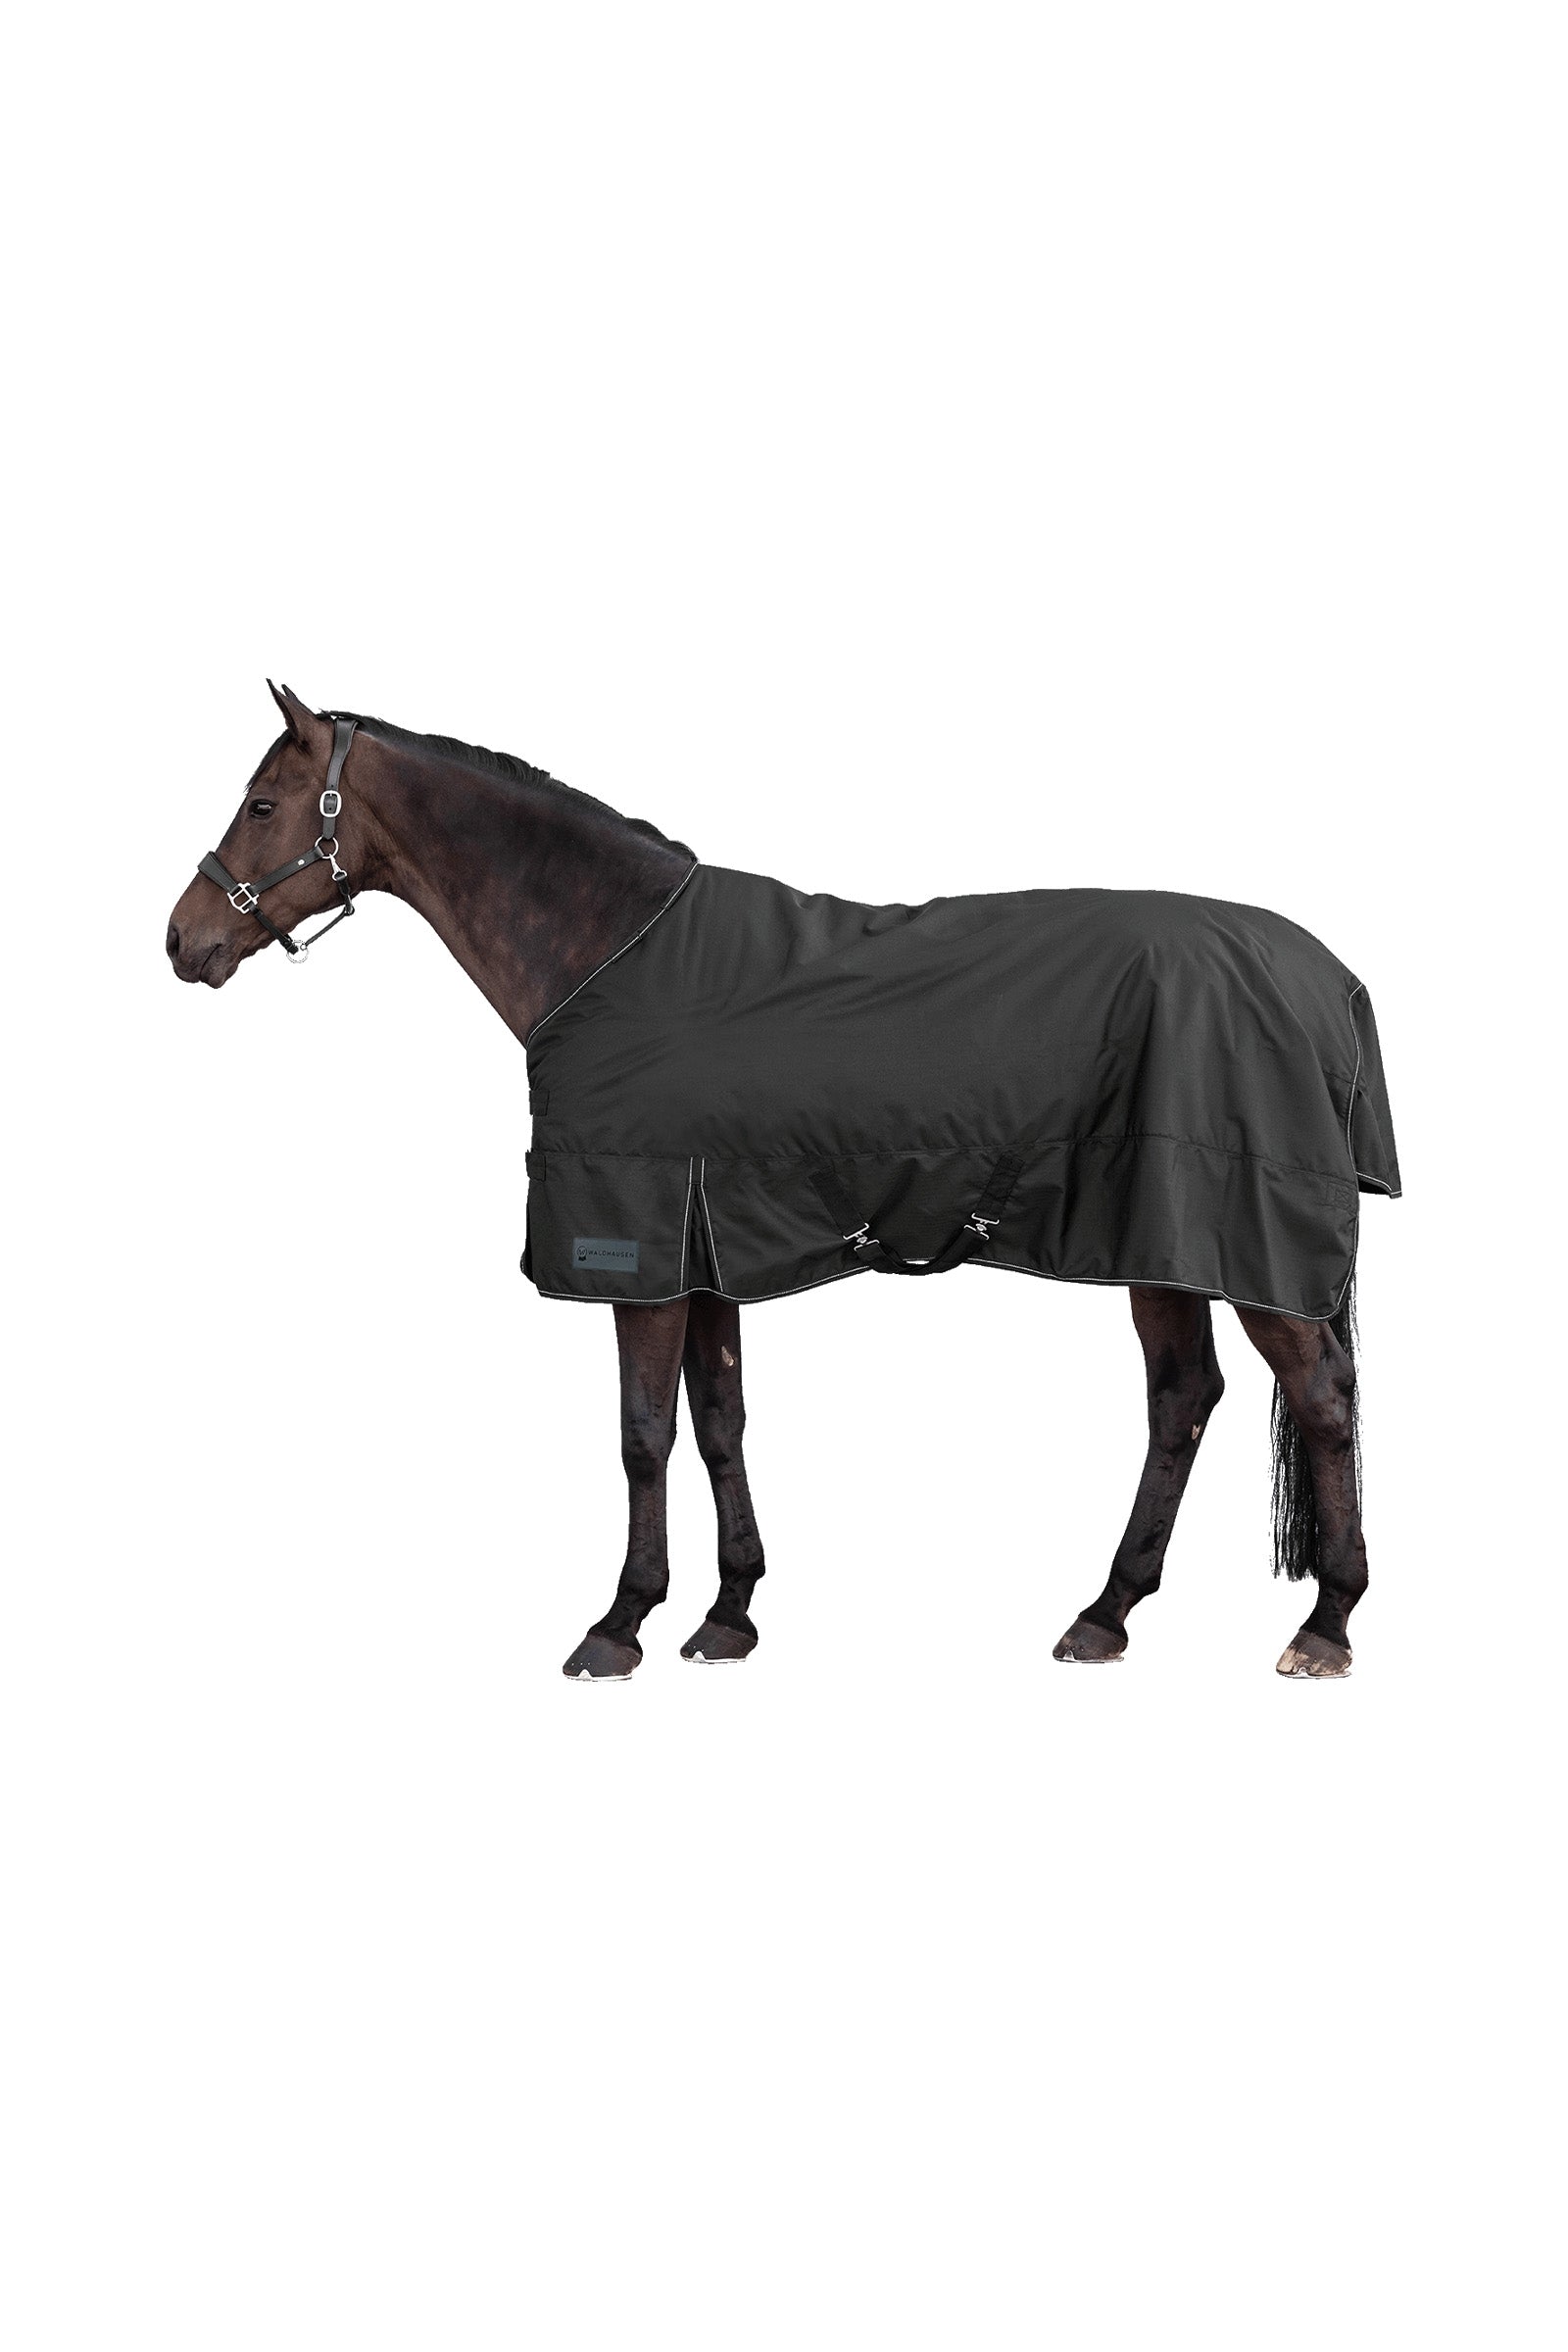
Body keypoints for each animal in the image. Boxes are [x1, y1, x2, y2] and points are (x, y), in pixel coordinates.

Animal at [167, 683, 1397, 1682]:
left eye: (264, 807)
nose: (183, 941)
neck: (608, 953)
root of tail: (1328, 978)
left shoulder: (640, 1247)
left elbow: (642, 1437)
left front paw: (619, 1624)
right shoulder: (706, 1243)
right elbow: (719, 1423)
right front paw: (728, 1615)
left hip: (1238, 1241)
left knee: (1321, 1398)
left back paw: (1325, 1625)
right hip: (1160, 1238)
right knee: (1182, 1398)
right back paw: (1105, 1614)